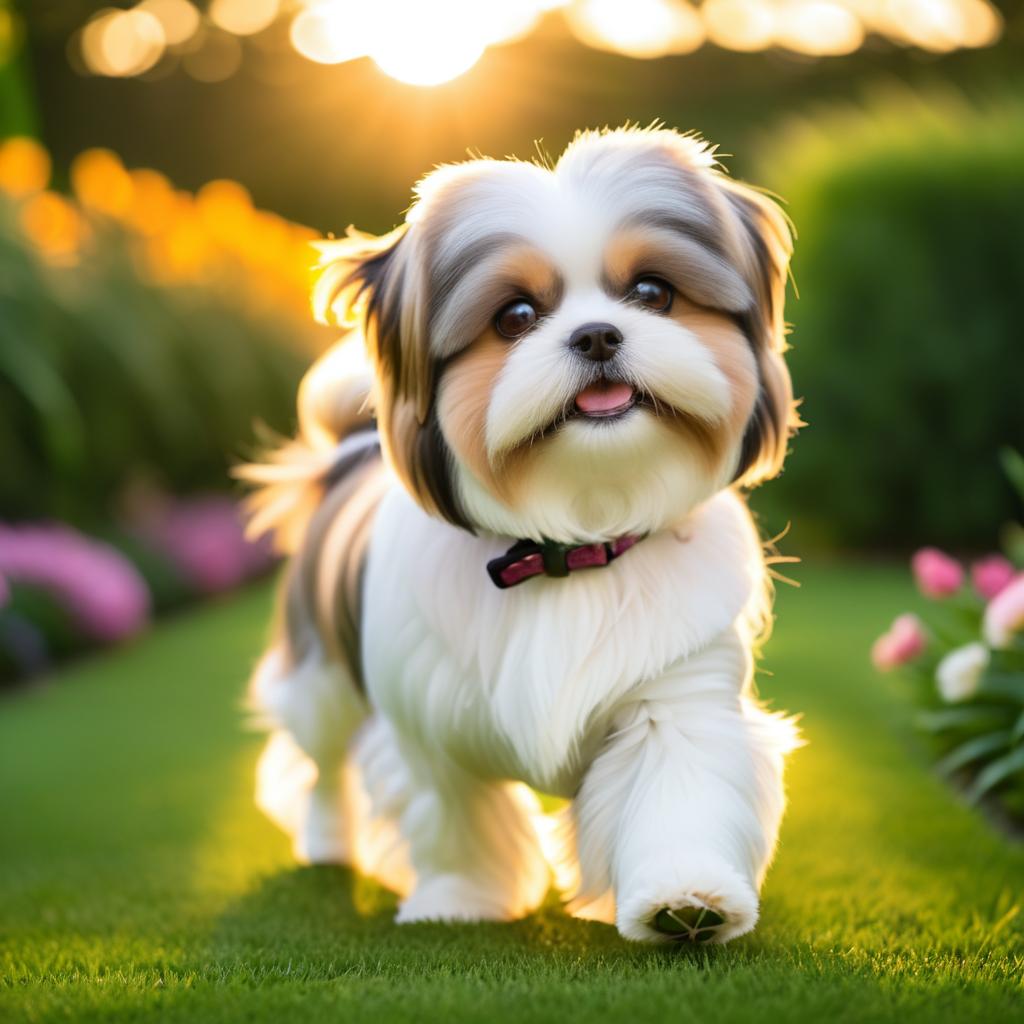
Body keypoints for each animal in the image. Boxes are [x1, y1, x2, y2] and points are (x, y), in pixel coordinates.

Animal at [239, 125, 798, 942]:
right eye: (514, 316)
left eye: (653, 293)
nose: (597, 335)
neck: (570, 542)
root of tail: (349, 455)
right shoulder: (425, 727)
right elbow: (455, 819)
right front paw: (460, 900)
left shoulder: (676, 698)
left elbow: (676, 793)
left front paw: (683, 900)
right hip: (320, 675)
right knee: (319, 763)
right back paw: (326, 842)